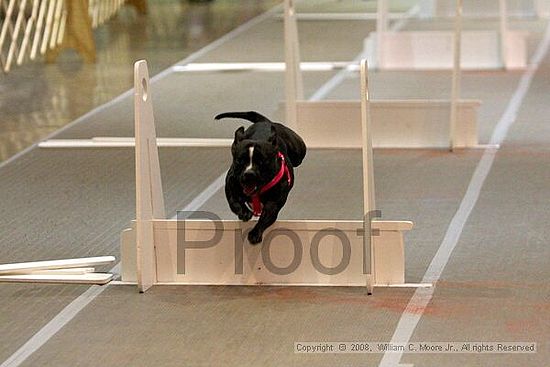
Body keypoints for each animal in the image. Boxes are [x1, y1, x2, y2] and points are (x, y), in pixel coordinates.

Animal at [216, 110, 308, 246]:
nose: (249, 174)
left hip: (299, 151)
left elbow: (265, 218)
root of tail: (265, 121)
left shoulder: (273, 204)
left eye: (262, 162)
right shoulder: (231, 183)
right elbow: (234, 202)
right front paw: (244, 212)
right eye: (239, 161)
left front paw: (255, 233)